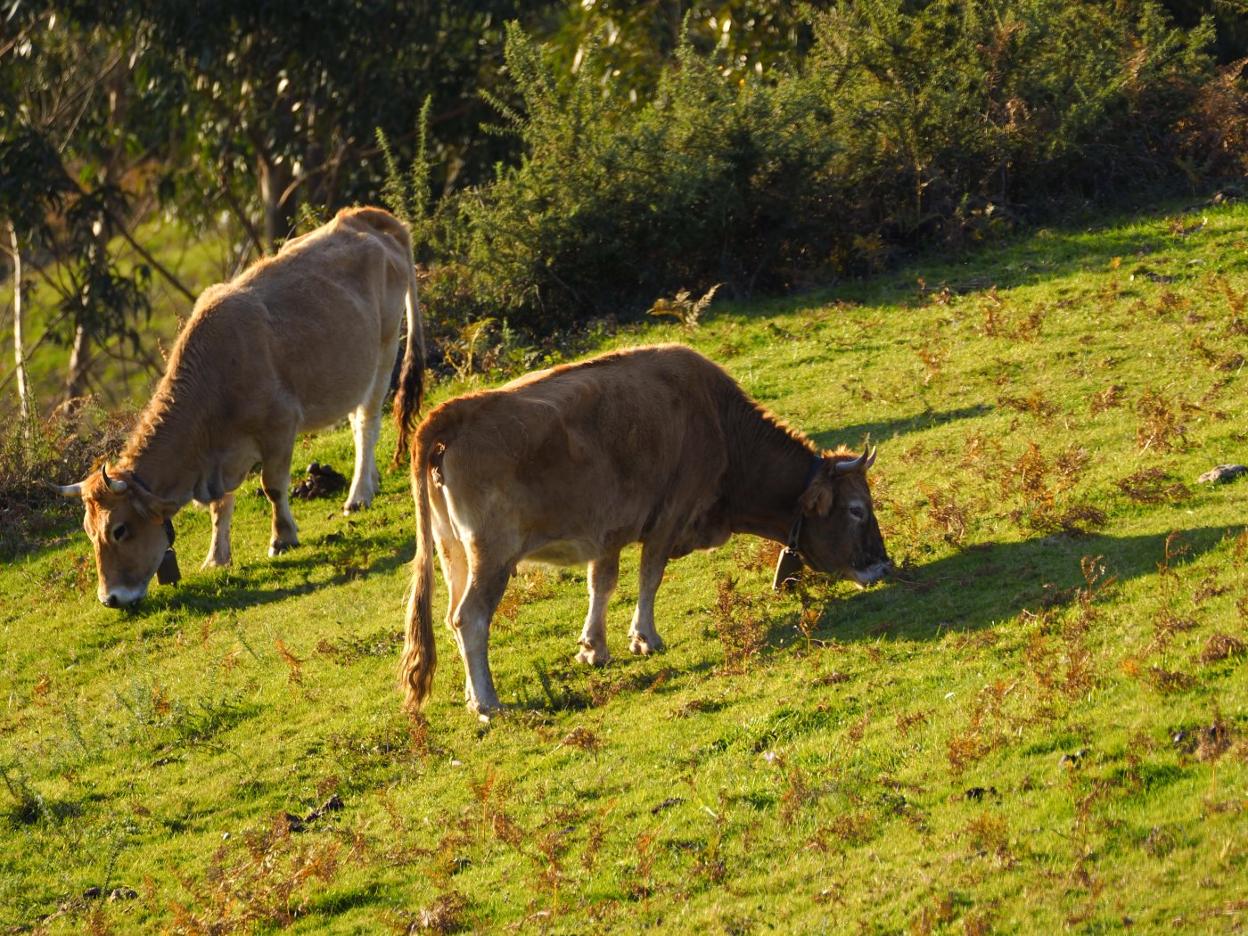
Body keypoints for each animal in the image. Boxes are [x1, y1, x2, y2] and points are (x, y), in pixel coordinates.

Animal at [399, 344, 888, 718]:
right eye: (857, 510)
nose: (882, 565)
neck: (720, 425)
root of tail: (455, 411)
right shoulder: (668, 517)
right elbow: (649, 577)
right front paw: (645, 638)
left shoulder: (608, 532)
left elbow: (602, 584)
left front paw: (593, 647)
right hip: (493, 555)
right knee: (470, 617)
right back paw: (487, 703)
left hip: (454, 552)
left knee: (452, 617)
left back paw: (470, 694)